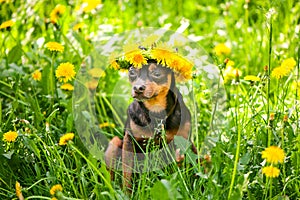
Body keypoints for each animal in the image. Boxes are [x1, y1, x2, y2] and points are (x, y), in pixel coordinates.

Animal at [104, 59, 198, 189]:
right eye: (132, 72)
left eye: (157, 73)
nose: (138, 88)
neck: (156, 112)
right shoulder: (129, 142)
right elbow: (127, 175)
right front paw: (126, 192)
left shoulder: (183, 142)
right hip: (114, 143)